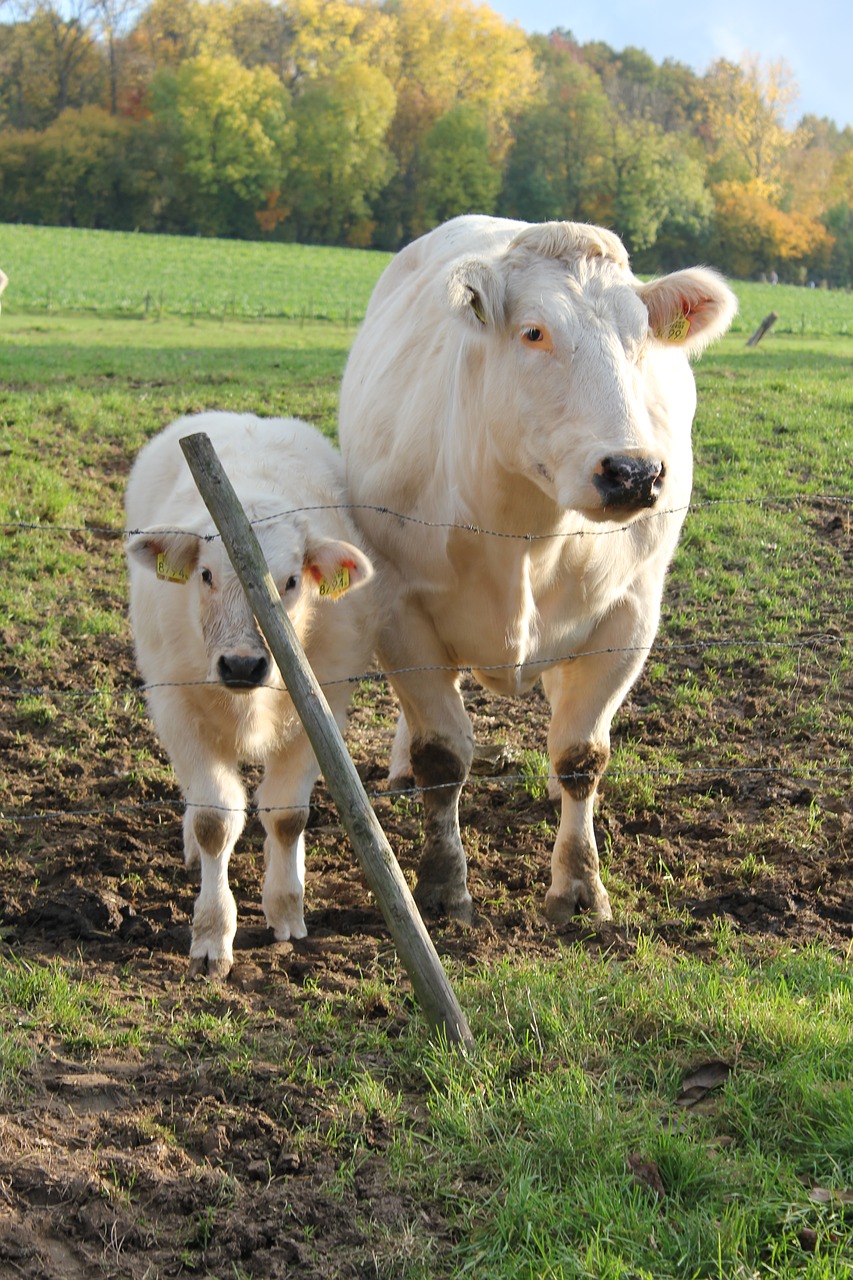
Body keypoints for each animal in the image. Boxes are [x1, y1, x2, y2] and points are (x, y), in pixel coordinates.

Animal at [125, 414, 376, 972]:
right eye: (205, 574)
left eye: (291, 581)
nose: (242, 663)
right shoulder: (175, 706)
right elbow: (215, 820)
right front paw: (212, 934)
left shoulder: (323, 707)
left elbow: (287, 816)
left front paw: (285, 909)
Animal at [335, 215, 732, 926]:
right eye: (533, 332)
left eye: (641, 339)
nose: (633, 471)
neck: (526, 532)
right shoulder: (400, 608)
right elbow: (443, 754)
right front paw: (442, 885)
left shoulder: (631, 615)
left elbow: (582, 755)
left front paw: (578, 886)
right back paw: (402, 767)